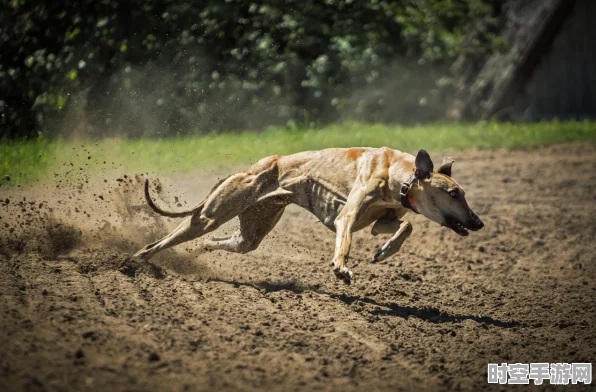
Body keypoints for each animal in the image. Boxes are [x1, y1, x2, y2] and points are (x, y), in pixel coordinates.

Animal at [134, 149, 484, 284]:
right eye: (455, 193)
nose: (478, 222)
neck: (400, 175)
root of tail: (249, 169)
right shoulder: (347, 219)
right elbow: (345, 243)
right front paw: (341, 268)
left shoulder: (381, 221)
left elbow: (406, 225)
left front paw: (385, 251)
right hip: (209, 215)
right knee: (161, 242)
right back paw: (136, 260)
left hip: (250, 232)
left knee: (223, 241)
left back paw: (197, 252)